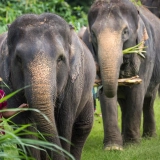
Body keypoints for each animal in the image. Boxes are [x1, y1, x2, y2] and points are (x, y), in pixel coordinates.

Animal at [0, 13, 95, 159]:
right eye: (19, 59)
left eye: (60, 59)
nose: (26, 105)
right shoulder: (7, 83)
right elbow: (25, 127)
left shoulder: (73, 85)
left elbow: (64, 126)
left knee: (83, 127)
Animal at [82, 0, 160, 150]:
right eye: (93, 33)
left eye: (125, 31)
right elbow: (107, 97)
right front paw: (113, 148)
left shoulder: (145, 53)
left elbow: (137, 92)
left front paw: (132, 145)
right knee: (124, 104)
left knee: (148, 100)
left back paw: (149, 137)